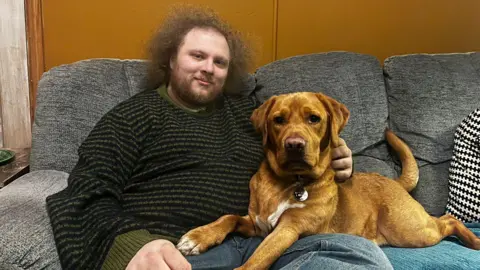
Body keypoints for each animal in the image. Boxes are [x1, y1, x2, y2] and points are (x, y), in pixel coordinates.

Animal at [177, 92, 480, 268]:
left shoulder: (287, 230)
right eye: (278, 120)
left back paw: (474, 242)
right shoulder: (256, 224)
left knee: (449, 220)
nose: (294, 145)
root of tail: (393, 181)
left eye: (314, 118)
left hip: (410, 231)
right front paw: (198, 237)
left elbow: (256, 260)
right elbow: (228, 218)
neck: (288, 182)